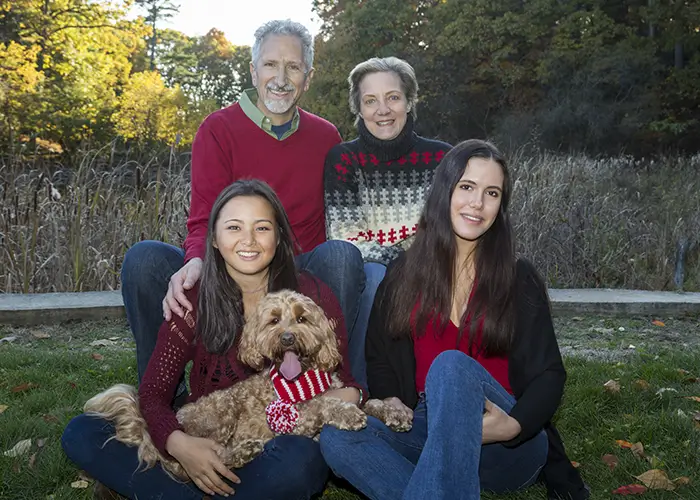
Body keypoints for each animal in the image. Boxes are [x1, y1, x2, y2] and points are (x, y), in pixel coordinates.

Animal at [83, 290, 410, 480]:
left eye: (302, 318)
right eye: (274, 320)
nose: (287, 338)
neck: (302, 379)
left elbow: (369, 401)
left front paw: (396, 413)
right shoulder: (294, 417)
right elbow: (323, 404)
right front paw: (348, 414)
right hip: (221, 412)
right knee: (207, 458)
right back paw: (244, 451)